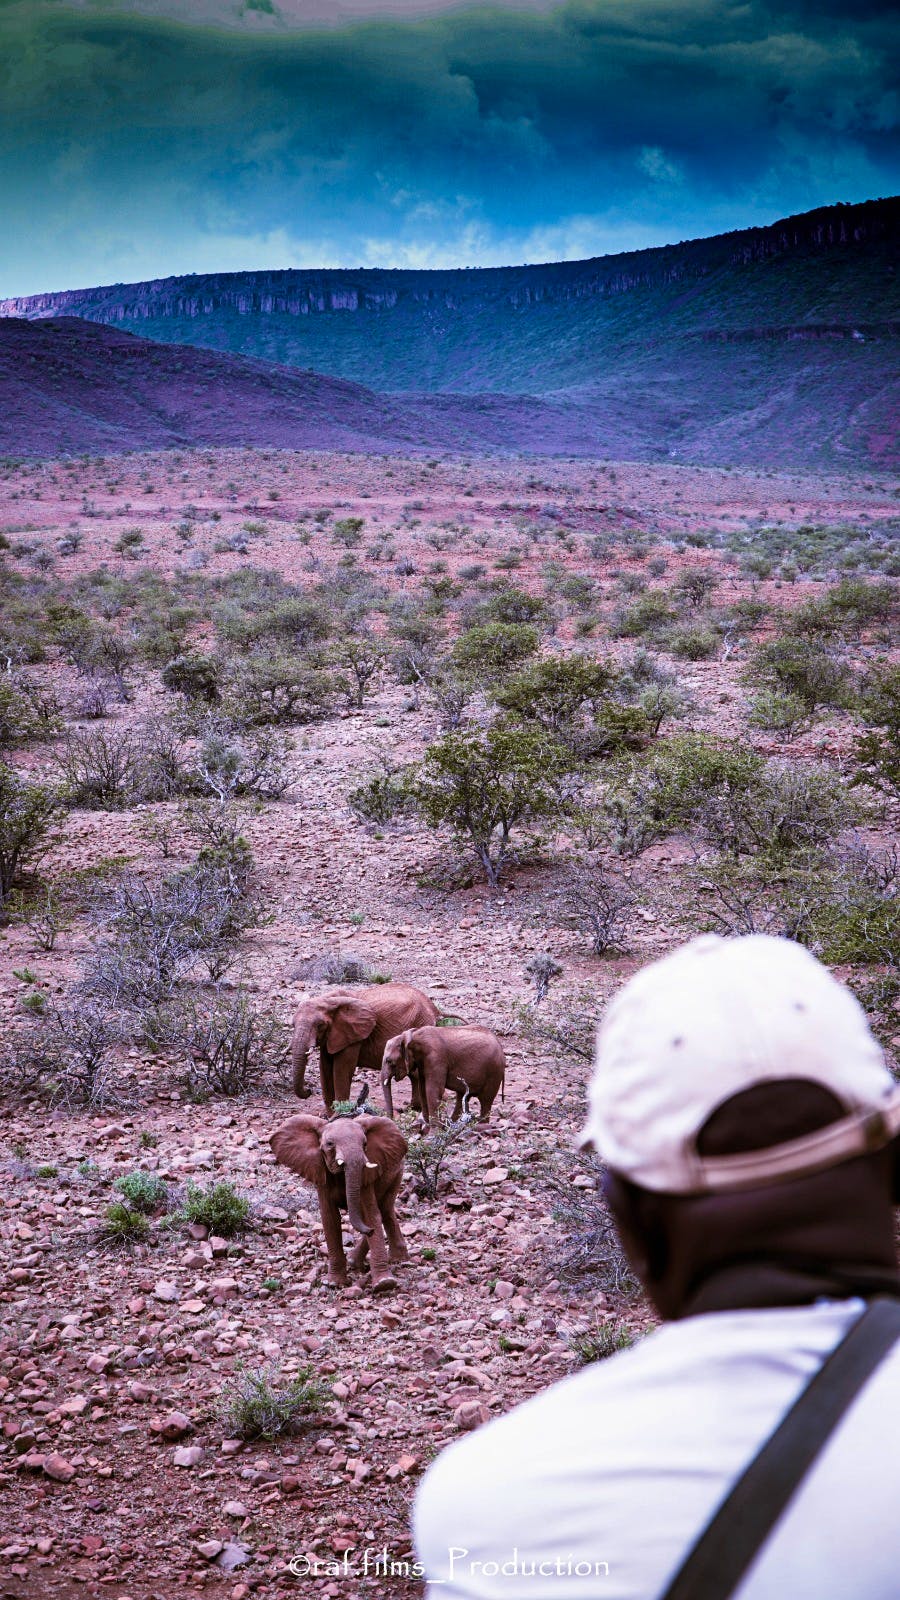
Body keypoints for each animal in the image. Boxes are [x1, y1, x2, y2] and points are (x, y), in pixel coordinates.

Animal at [265, 1113, 406, 1299]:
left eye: (365, 1144)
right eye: (330, 1144)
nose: (369, 1231)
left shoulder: (366, 1176)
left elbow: (371, 1214)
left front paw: (384, 1284)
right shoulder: (320, 1172)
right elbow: (330, 1219)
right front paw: (333, 1283)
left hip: (396, 1171)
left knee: (384, 1209)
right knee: (385, 1210)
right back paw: (357, 1261)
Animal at [293, 979, 435, 1107]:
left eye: (320, 1025)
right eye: (293, 1024)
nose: (309, 1090)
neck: (326, 1000)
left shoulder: (352, 1035)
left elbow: (341, 1070)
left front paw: (340, 1114)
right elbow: (325, 1069)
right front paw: (330, 1116)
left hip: (421, 1023)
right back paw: (414, 1107)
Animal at [377, 1024, 506, 1126]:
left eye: (389, 1061)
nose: (392, 1120)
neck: (413, 1036)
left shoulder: (437, 1059)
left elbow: (433, 1090)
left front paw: (433, 1131)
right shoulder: (423, 1063)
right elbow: (423, 1089)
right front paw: (427, 1124)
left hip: (494, 1071)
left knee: (486, 1100)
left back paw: (481, 1126)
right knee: (462, 1097)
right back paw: (451, 1124)